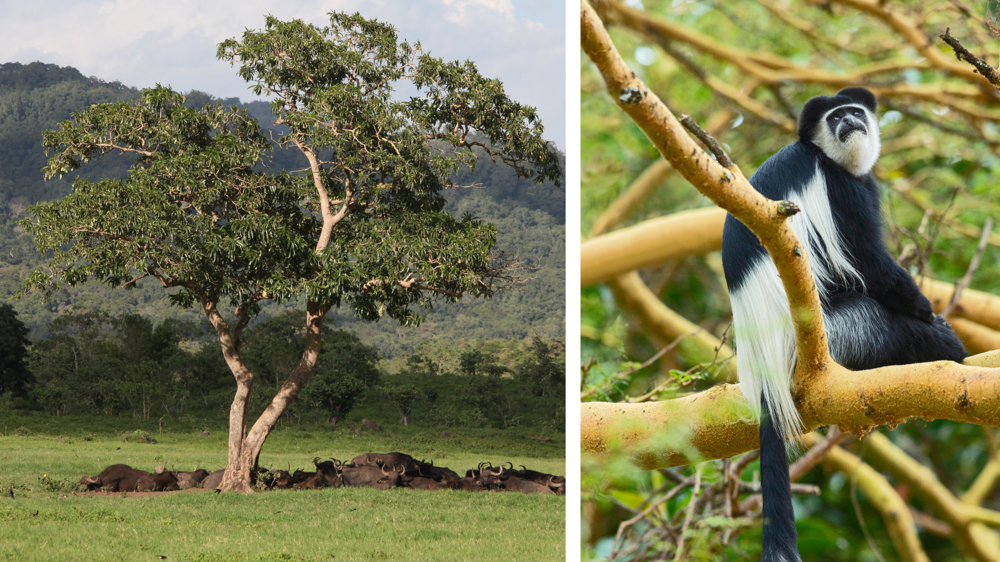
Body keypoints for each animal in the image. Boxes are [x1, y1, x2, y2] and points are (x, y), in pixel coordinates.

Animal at [724, 85, 964, 556]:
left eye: (853, 112)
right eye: (835, 118)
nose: (849, 122)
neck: (828, 158)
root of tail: (764, 364)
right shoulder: (843, 189)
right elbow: (869, 260)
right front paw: (927, 313)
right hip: (843, 334)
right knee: (888, 327)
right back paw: (942, 346)